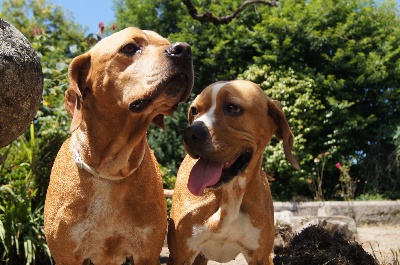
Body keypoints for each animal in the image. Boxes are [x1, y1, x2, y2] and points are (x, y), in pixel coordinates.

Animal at [44, 27, 194, 264]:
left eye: (165, 42)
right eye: (129, 48)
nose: (184, 50)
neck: (111, 170)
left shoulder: (147, 253)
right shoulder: (67, 255)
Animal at [166, 79, 300, 262]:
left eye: (232, 107)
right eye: (194, 110)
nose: (190, 133)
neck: (230, 193)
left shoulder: (262, 257)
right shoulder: (180, 256)